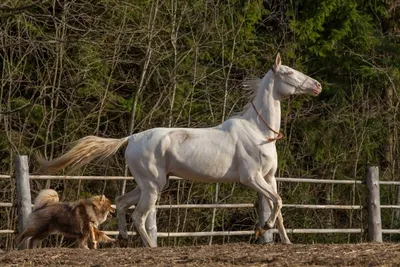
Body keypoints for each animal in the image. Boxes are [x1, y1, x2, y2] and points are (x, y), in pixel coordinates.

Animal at [37, 53, 322, 248]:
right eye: (288, 72)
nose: (317, 85)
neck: (259, 132)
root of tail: (132, 138)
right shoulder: (251, 178)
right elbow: (277, 202)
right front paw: (264, 227)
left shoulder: (269, 177)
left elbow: (279, 205)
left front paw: (284, 239)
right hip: (153, 187)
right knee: (139, 216)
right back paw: (150, 247)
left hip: (148, 184)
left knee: (122, 203)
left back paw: (124, 239)